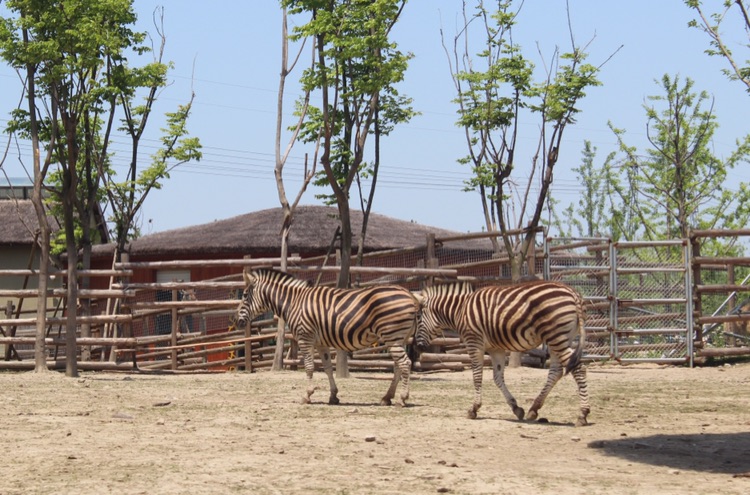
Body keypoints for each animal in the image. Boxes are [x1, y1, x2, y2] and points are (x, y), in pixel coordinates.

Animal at [236, 272, 420, 406]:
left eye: (244, 295)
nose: (236, 321)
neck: (294, 302)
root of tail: (410, 294)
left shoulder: (305, 338)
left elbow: (309, 367)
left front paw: (307, 395)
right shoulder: (320, 343)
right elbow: (328, 368)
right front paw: (333, 396)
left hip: (392, 336)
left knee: (405, 363)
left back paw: (402, 398)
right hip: (400, 338)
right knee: (398, 366)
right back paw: (387, 397)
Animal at [414, 280, 592, 428]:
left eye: (418, 318)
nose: (417, 347)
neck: (460, 310)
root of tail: (573, 293)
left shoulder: (474, 342)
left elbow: (477, 375)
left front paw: (474, 409)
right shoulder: (495, 349)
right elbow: (497, 377)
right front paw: (516, 408)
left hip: (556, 336)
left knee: (579, 368)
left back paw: (582, 414)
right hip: (559, 339)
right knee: (556, 371)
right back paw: (533, 409)